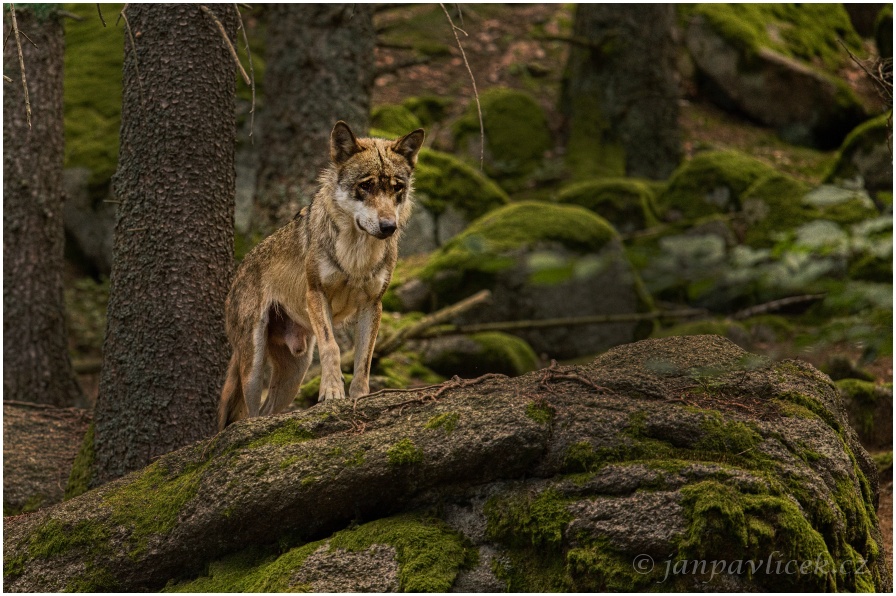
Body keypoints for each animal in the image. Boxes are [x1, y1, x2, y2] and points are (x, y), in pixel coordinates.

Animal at [219, 121, 426, 428]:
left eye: (397, 188)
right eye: (366, 185)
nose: (389, 226)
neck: (356, 254)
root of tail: (239, 271)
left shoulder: (372, 305)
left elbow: (364, 359)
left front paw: (360, 397)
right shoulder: (316, 294)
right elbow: (332, 347)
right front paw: (331, 393)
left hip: (295, 373)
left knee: (269, 410)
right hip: (253, 367)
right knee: (250, 411)